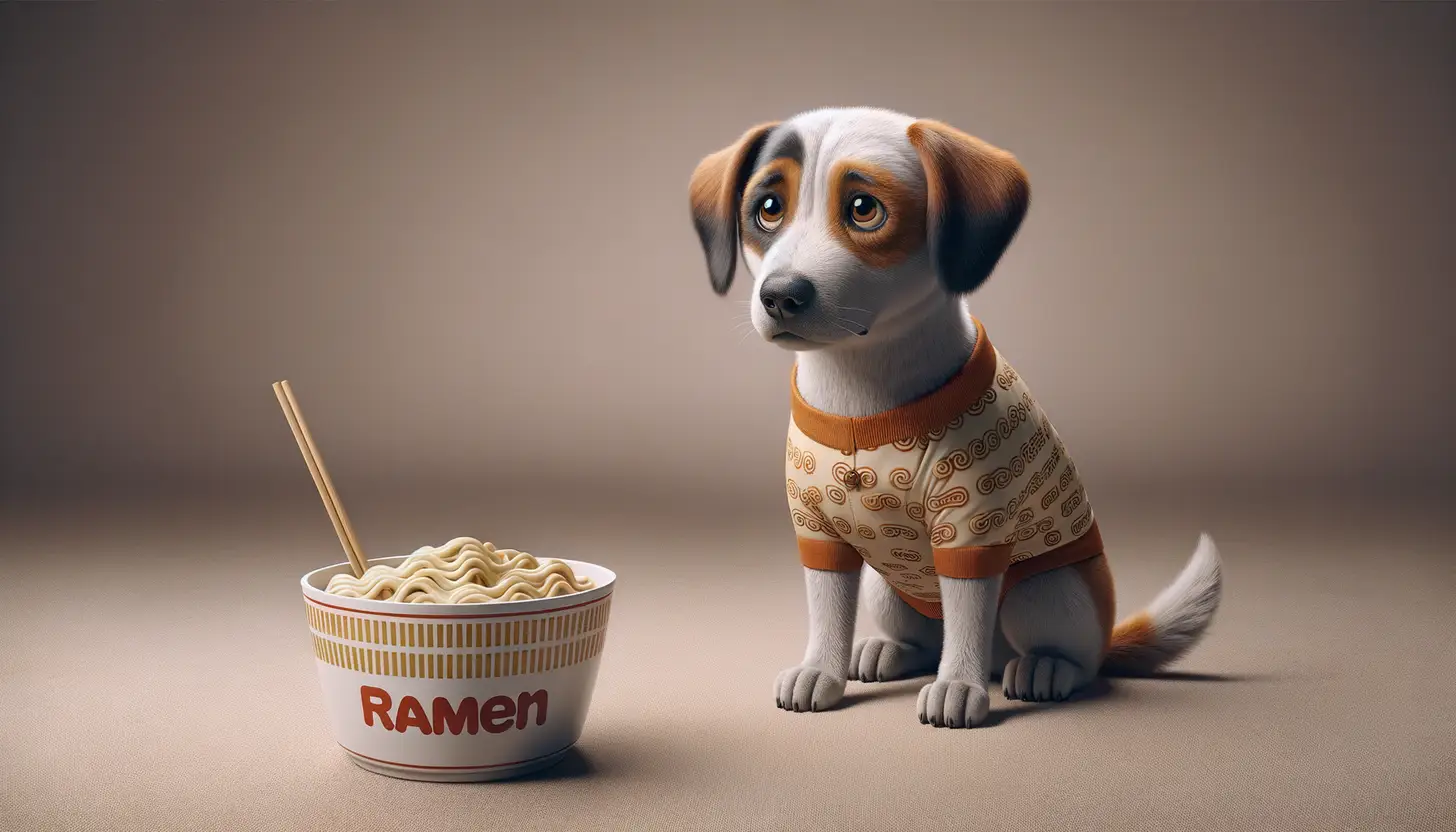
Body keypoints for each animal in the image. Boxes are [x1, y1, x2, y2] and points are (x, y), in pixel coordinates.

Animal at [687, 109, 1223, 728]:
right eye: (768, 208)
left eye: (864, 209)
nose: (779, 295)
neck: (861, 392)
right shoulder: (819, 531)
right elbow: (826, 610)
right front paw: (820, 669)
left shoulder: (970, 530)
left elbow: (967, 613)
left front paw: (957, 687)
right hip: (885, 585)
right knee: (920, 632)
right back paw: (890, 651)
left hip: (1048, 589)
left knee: (1070, 654)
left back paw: (1044, 668)